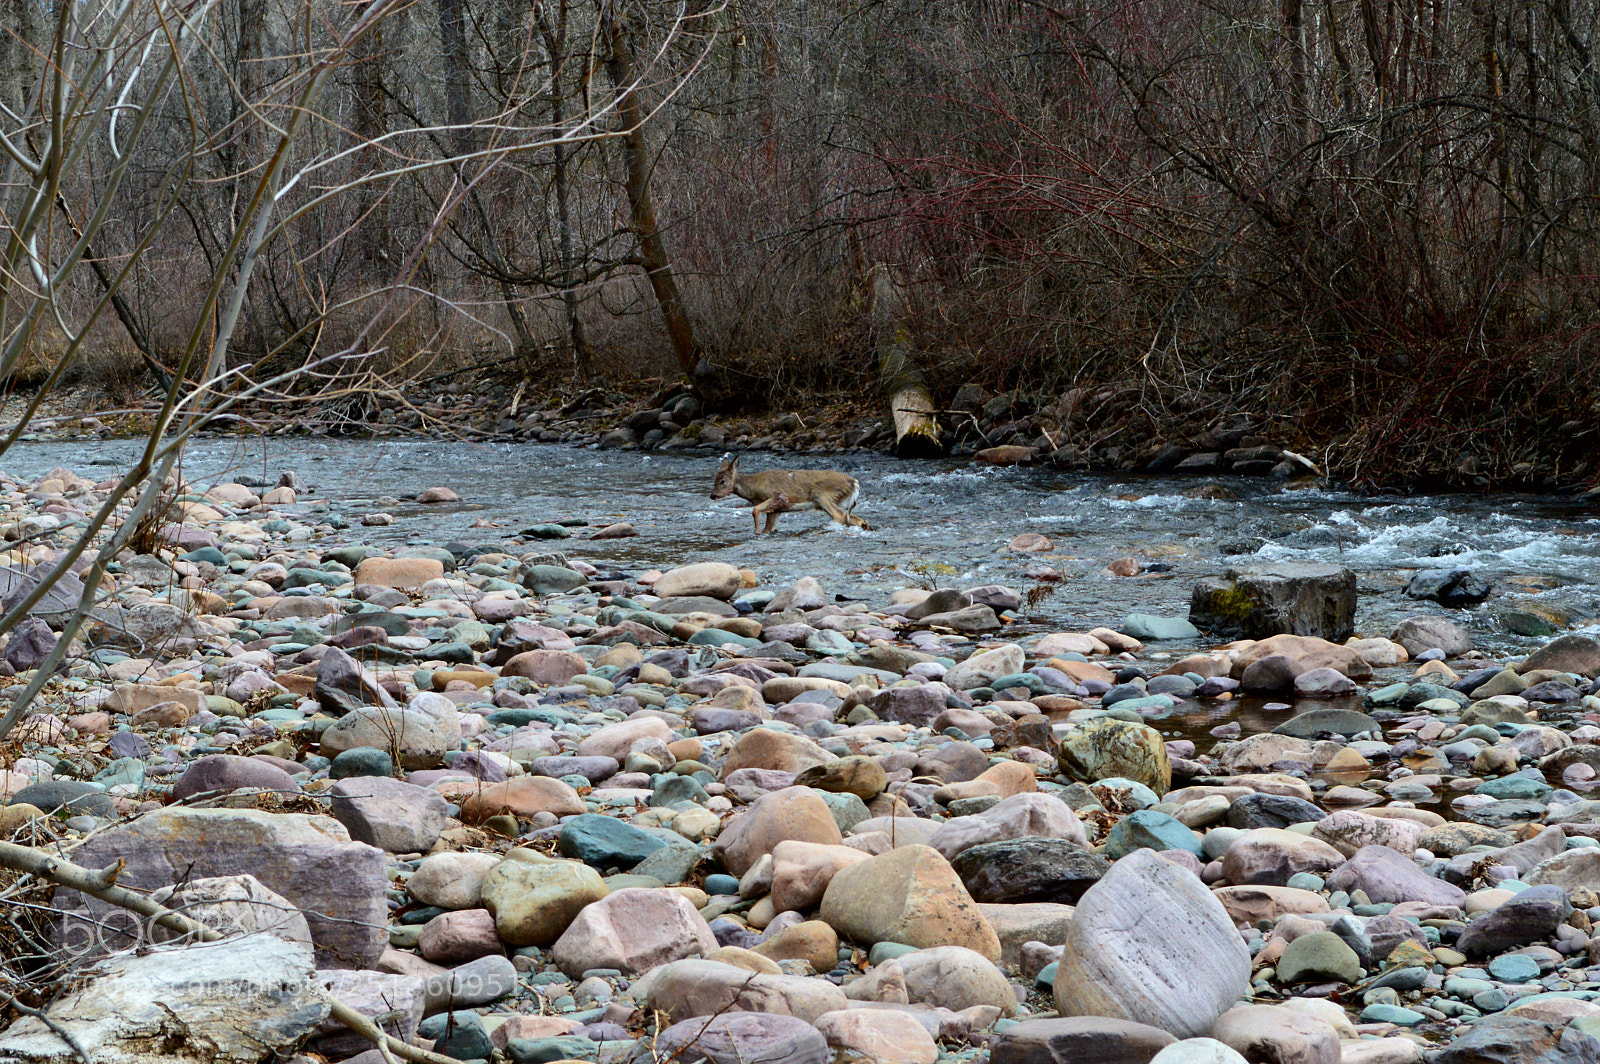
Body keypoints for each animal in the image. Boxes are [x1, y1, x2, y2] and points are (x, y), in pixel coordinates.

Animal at [711, 455, 871, 532]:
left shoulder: (777, 496)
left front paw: (756, 531)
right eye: (714, 479)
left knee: (839, 515)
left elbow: (755, 510)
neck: (753, 488)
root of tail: (854, 481)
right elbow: (768, 528)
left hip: (821, 494)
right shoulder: (775, 511)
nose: (712, 495)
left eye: (722, 481)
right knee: (860, 520)